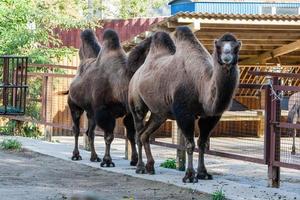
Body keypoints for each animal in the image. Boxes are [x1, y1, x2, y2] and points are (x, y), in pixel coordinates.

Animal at [68, 28, 152, 166]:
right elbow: (109, 136)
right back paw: (76, 155)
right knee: (76, 129)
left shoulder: (129, 111)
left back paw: (94, 157)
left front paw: (134, 160)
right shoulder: (104, 111)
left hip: (91, 113)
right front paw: (107, 161)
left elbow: (131, 134)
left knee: (90, 132)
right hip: (74, 106)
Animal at [127, 27, 240, 183]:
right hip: (137, 102)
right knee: (138, 132)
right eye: (218, 47)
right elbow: (190, 144)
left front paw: (203, 173)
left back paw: (150, 167)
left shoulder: (211, 116)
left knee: (145, 134)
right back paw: (140, 167)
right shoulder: (184, 113)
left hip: (159, 113)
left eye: (236, 47)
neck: (201, 84)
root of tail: (135, 75)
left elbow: (202, 144)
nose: (227, 57)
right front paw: (189, 176)